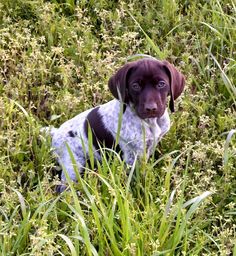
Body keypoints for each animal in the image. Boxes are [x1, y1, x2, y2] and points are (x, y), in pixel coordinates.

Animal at [47, 57, 184, 190]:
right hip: (73, 165)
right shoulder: (132, 157)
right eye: (135, 86)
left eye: (161, 84)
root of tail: (55, 133)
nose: (151, 109)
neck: (150, 122)